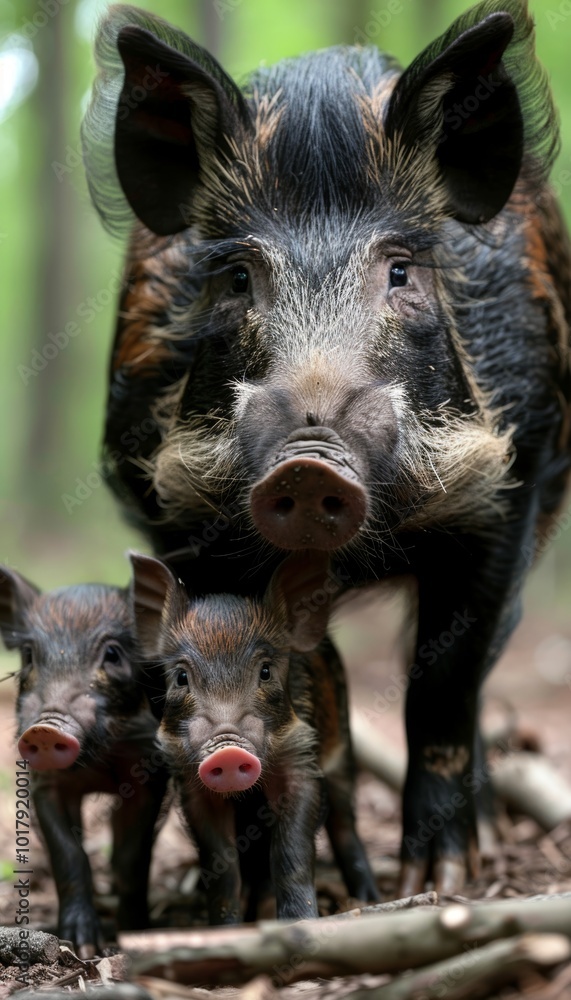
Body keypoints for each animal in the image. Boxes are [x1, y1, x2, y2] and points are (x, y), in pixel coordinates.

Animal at [0, 566, 168, 957]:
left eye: (113, 653)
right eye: (28, 656)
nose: (46, 728)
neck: (97, 762)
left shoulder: (149, 775)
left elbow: (132, 857)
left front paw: (131, 934)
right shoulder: (45, 785)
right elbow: (70, 854)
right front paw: (83, 946)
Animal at [130, 551, 379, 922]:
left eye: (265, 671)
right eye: (180, 677)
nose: (228, 750)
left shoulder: (302, 759)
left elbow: (290, 849)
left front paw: (300, 922)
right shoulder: (191, 786)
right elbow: (220, 862)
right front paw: (225, 927)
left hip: (343, 748)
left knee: (344, 823)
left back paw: (367, 900)